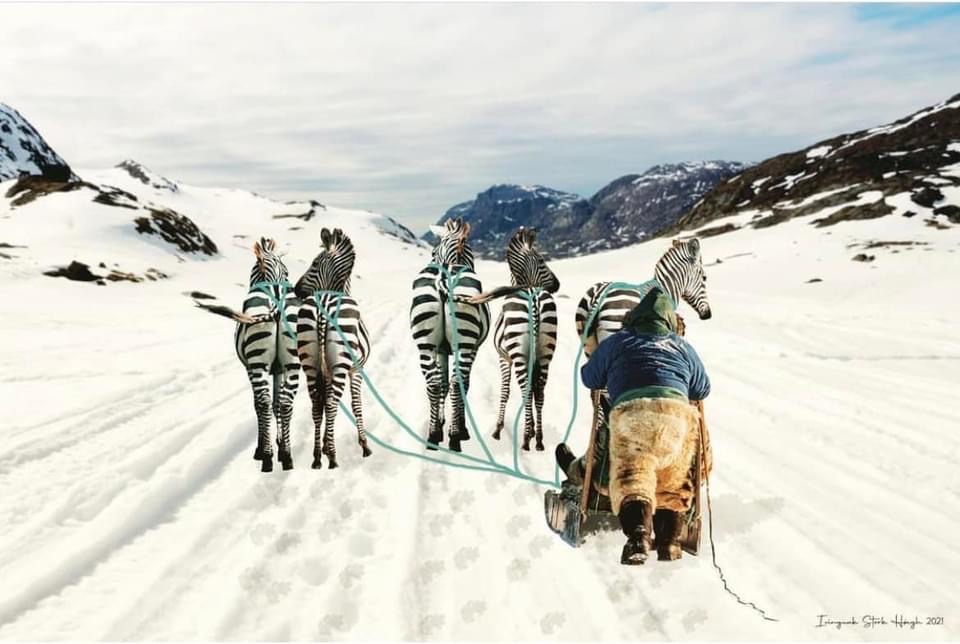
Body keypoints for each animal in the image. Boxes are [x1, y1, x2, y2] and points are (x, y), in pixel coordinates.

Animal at [234, 237, 301, 473]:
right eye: (288, 271)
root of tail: (277, 299)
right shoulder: (279, 369)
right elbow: (277, 404)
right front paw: (280, 444)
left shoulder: (249, 368)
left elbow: (258, 404)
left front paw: (261, 448)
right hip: (293, 363)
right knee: (286, 403)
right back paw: (287, 456)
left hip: (257, 363)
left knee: (262, 403)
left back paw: (267, 458)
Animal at [295, 228, 372, 470]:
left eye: (314, 263)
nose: (295, 289)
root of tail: (323, 307)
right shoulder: (356, 370)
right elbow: (356, 404)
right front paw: (364, 445)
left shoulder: (326, 371)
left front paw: (325, 447)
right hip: (339, 366)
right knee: (331, 404)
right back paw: (334, 459)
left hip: (310, 365)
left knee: (317, 405)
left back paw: (317, 458)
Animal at [409, 218, 491, 452]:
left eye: (433, 251)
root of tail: (444, 277)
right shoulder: (473, 348)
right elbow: (464, 383)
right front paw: (461, 428)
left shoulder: (442, 349)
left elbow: (442, 383)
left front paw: (441, 422)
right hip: (464, 342)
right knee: (457, 383)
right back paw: (454, 437)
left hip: (425, 344)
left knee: (434, 384)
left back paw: (433, 435)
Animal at [468, 228, 560, 451]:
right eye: (542, 260)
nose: (558, 284)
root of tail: (533, 295)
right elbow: (533, 391)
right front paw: (533, 429)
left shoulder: (504, 358)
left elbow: (505, 391)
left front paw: (498, 428)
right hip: (546, 353)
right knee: (540, 392)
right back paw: (539, 440)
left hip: (518, 354)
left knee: (526, 390)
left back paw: (525, 439)